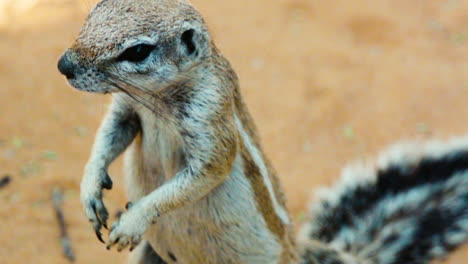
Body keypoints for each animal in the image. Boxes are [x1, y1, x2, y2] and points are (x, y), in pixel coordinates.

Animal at [56, 0, 466, 264]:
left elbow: (203, 174)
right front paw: (90, 191)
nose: (64, 65)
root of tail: (297, 252)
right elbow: (109, 137)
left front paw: (133, 220)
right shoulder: (129, 110)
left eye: (138, 51)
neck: (158, 103)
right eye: (94, 8)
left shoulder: (212, 120)